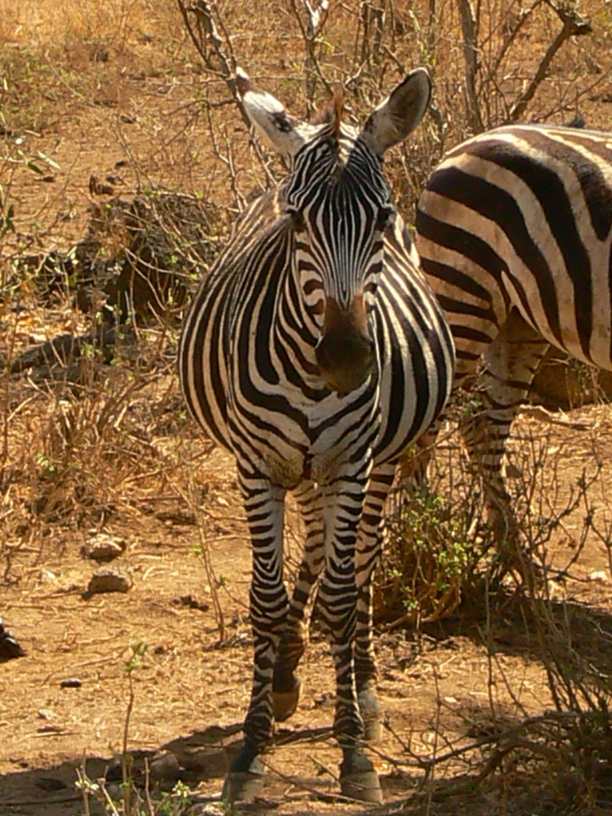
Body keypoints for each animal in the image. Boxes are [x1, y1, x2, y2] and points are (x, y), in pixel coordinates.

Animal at [179, 68, 454, 802]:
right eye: (297, 220)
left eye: (381, 219)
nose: (347, 360)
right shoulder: (257, 465)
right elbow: (268, 599)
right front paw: (252, 747)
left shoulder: (352, 461)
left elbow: (340, 591)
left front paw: (353, 747)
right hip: (299, 468)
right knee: (317, 545)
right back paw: (285, 675)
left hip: (374, 462)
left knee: (361, 561)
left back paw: (363, 684)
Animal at [415, 122, 612, 543]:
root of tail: (458, 149)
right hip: (463, 292)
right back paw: (416, 536)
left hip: (517, 322)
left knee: (483, 424)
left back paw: (513, 550)